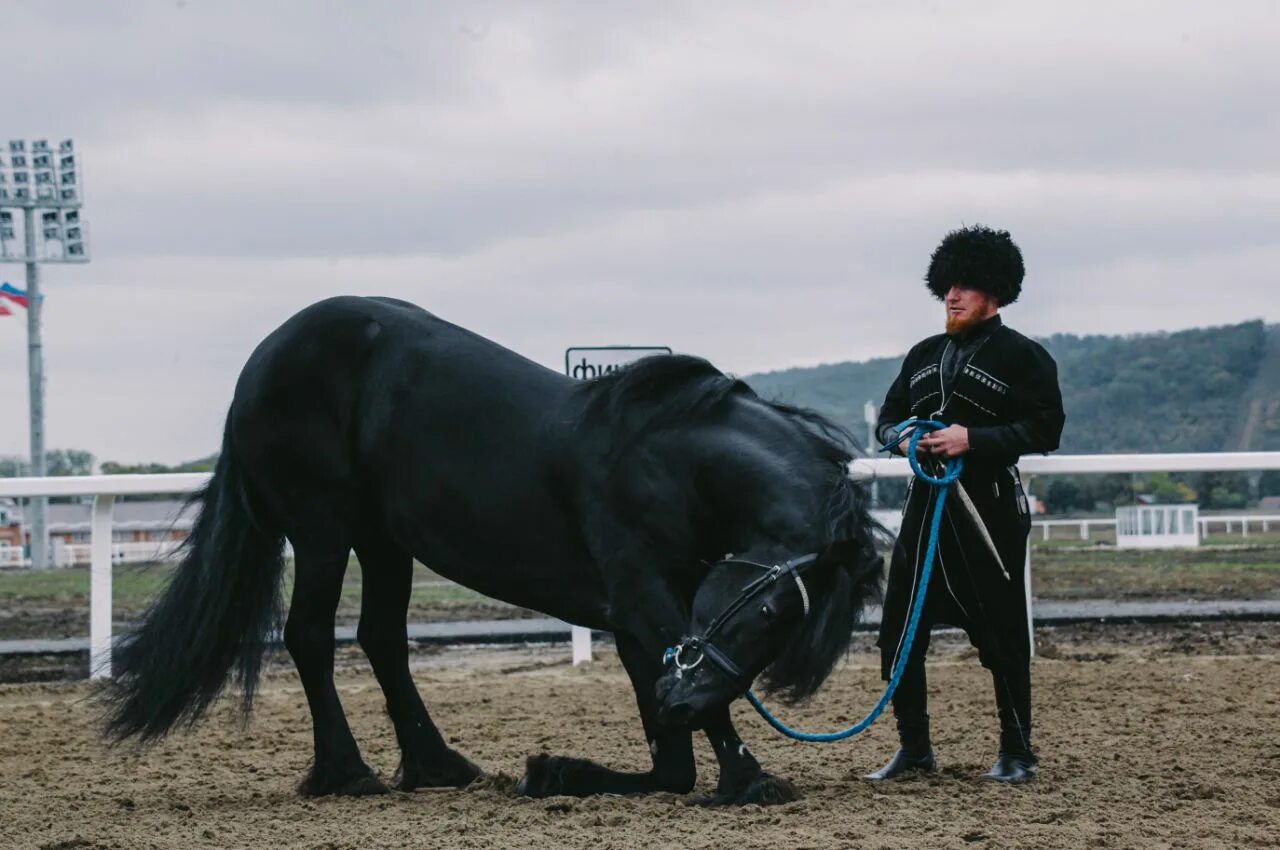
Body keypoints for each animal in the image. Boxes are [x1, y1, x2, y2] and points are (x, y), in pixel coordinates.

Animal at [99, 296, 885, 803]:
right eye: (771, 610)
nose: (681, 701)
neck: (665, 461)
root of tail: (261, 363)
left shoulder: (645, 621)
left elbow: (669, 765)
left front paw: (560, 771)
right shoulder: (642, 598)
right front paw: (750, 779)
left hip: (384, 542)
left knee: (381, 637)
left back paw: (437, 765)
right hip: (323, 533)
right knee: (312, 637)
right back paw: (347, 773)